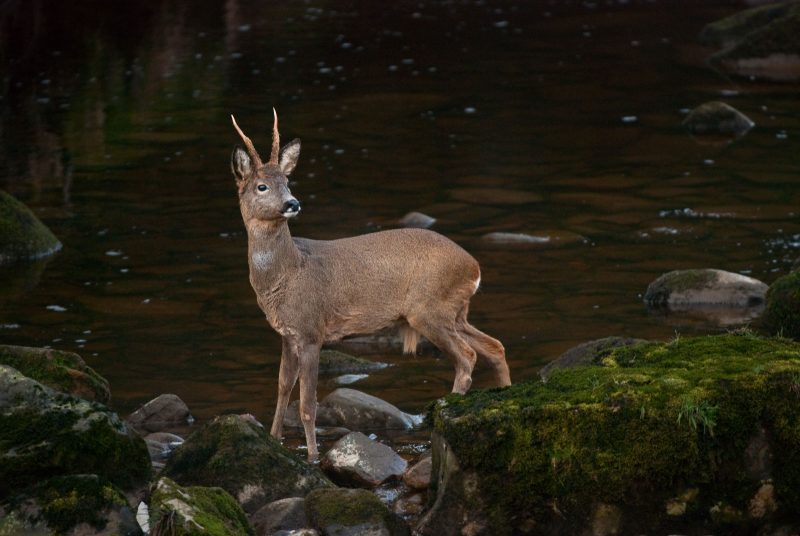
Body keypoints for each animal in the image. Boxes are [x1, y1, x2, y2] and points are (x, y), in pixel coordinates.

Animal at [228, 110, 510, 460]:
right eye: (262, 186)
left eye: (288, 182)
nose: (293, 203)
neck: (288, 273)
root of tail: (474, 266)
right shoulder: (288, 334)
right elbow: (282, 388)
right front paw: (274, 440)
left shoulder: (311, 331)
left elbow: (307, 404)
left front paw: (312, 456)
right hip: (455, 311)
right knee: (494, 346)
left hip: (429, 309)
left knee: (467, 356)